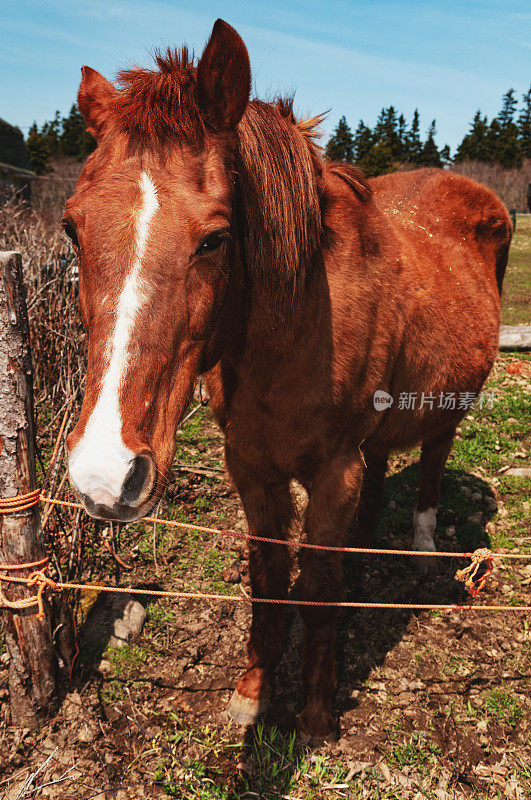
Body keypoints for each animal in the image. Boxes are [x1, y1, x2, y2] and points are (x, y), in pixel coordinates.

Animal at [64, 18, 512, 740]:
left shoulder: (331, 471)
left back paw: (418, 549)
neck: (292, 331)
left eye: (215, 238)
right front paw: (253, 692)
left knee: (433, 458)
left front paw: (315, 713)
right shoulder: (251, 466)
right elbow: (270, 582)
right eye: (71, 229)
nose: (106, 476)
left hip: (448, 404)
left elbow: (320, 590)